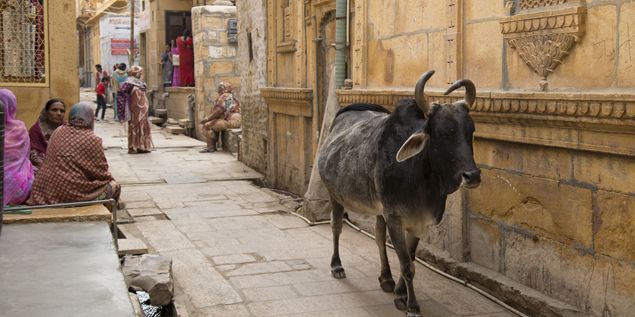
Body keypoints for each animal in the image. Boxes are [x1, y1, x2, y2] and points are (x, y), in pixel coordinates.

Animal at [318, 70, 482, 314]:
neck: (421, 178)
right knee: (336, 226)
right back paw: (337, 265)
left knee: (378, 236)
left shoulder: (418, 221)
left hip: (378, 208)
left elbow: (410, 259)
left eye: (470, 131)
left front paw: (399, 293)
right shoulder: (395, 216)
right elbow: (407, 265)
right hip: (335, 195)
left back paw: (386, 278)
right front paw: (411, 305)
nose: (472, 175)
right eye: (442, 133)